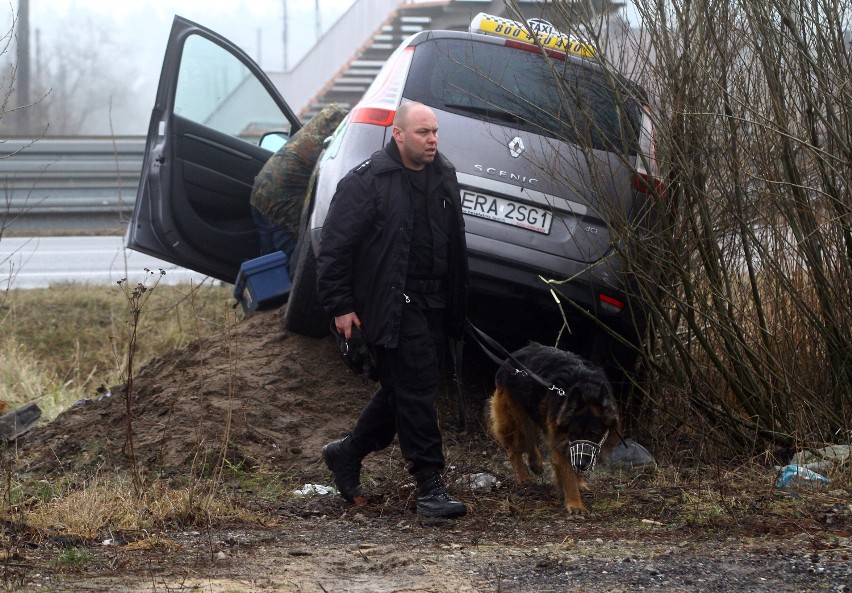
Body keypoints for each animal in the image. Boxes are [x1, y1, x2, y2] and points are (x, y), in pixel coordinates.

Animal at [486, 342, 620, 512]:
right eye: (573, 434)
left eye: (593, 435)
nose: (581, 465)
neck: (586, 391)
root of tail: (513, 356)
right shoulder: (562, 440)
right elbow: (568, 473)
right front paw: (575, 503)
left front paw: (579, 483)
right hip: (516, 417)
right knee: (514, 449)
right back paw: (524, 476)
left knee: (530, 439)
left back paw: (536, 463)